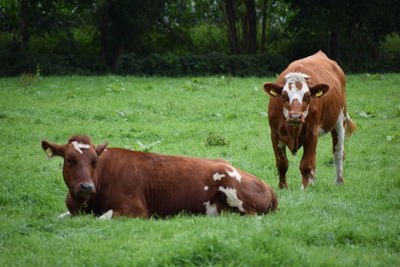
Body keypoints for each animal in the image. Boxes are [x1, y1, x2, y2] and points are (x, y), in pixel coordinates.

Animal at [41, 135, 278, 219]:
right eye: (70, 159)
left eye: (94, 161)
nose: (87, 186)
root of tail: (268, 186)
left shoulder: (135, 210)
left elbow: (101, 218)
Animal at [262, 51, 356, 189]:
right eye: (284, 96)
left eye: (307, 96)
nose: (295, 116)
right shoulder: (275, 134)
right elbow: (282, 164)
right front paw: (283, 187)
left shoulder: (312, 133)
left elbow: (305, 164)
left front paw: (305, 187)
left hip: (340, 118)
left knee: (338, 152)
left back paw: (339, 181)